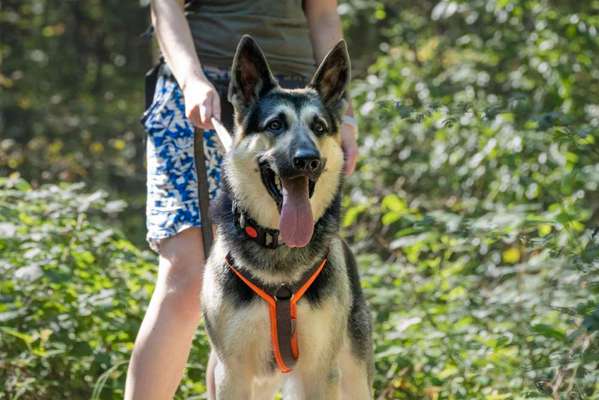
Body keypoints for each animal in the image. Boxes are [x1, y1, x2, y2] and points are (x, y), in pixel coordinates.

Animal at [204, 36, 372, 398]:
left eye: (319, 127)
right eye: (275, 125)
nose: (307, 160)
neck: (277, 244)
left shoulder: (319, 372)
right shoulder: (232, 374)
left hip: (352, 376)